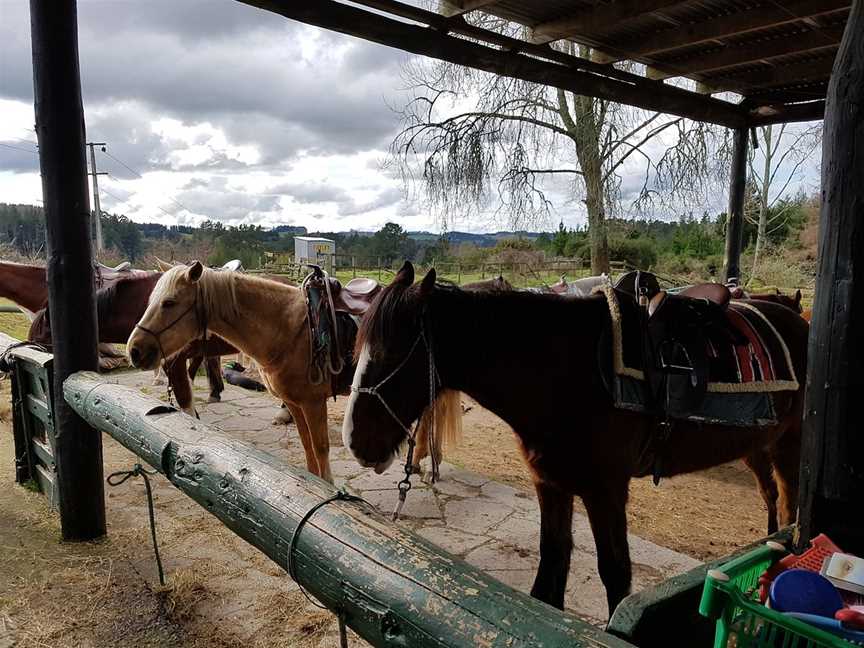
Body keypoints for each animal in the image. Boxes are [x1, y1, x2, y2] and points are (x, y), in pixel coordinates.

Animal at [340, 262, 808, 616]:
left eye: (391, 354)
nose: (354, 442)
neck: (565, 374)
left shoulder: (605, 490)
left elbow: (615, 573)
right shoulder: (551, 484)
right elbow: (551, 570)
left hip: (790, 446)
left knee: (789, 507)